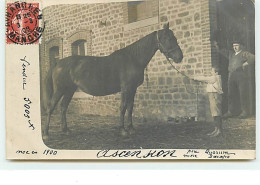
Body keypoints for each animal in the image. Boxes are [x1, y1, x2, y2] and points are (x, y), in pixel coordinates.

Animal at [42, 22, 183, 139]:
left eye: (175, 37)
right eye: (169, 38)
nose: (180, 57)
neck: (133, 58)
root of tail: (58, 62)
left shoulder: (133, 89)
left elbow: (130, 107)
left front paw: (131, 128)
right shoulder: (126, 88)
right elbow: (123, 107)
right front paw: (122, 130)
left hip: (69, 90)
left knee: (63, 107)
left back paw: (65, 130)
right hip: (60, 90)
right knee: (51, 107)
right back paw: (46, 134)